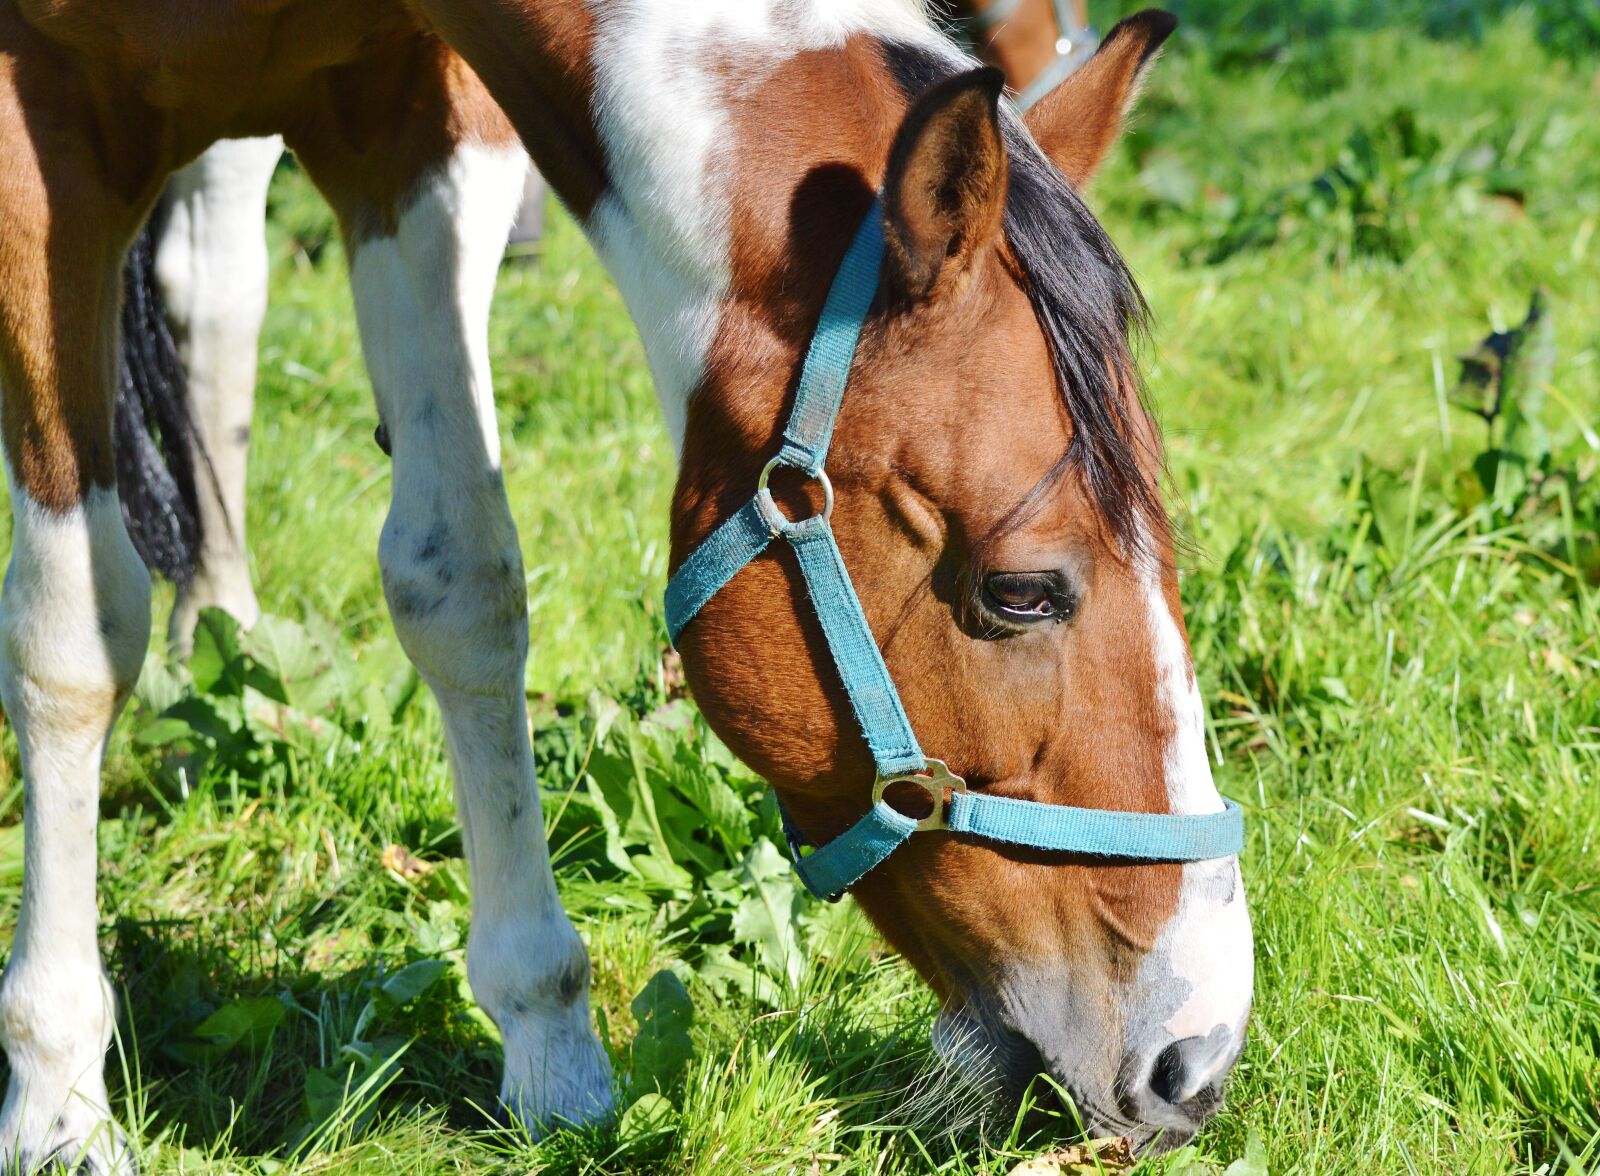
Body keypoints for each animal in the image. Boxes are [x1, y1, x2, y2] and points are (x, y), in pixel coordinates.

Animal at [0, 1, 1253, 1170]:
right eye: (1022, 592)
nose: (1194, 1058)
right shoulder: (40, 134)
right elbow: (73, 641)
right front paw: (59, 1096)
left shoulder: (400, 117)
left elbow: (460, 582)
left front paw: (550, 1049)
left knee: (215, 288)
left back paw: (224, 630)